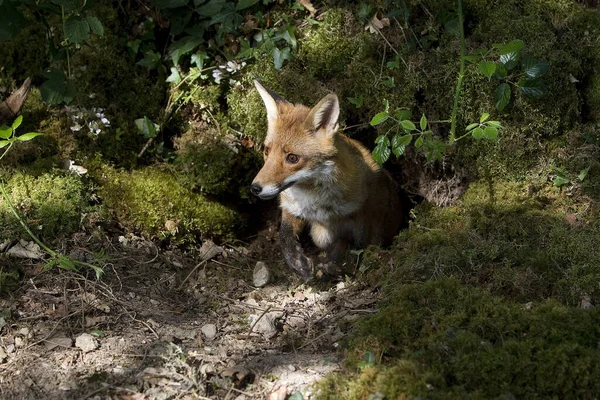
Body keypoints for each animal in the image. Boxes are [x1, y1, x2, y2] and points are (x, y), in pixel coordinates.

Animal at [248, 80, 404, 282]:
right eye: (267, 150)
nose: (255, 188)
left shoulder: (365, 212)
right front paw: (298, 263)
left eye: (292, 158)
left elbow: (359, 245)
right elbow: (284, 236)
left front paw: (340, 266)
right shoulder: (292, 209)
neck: (315, 202)